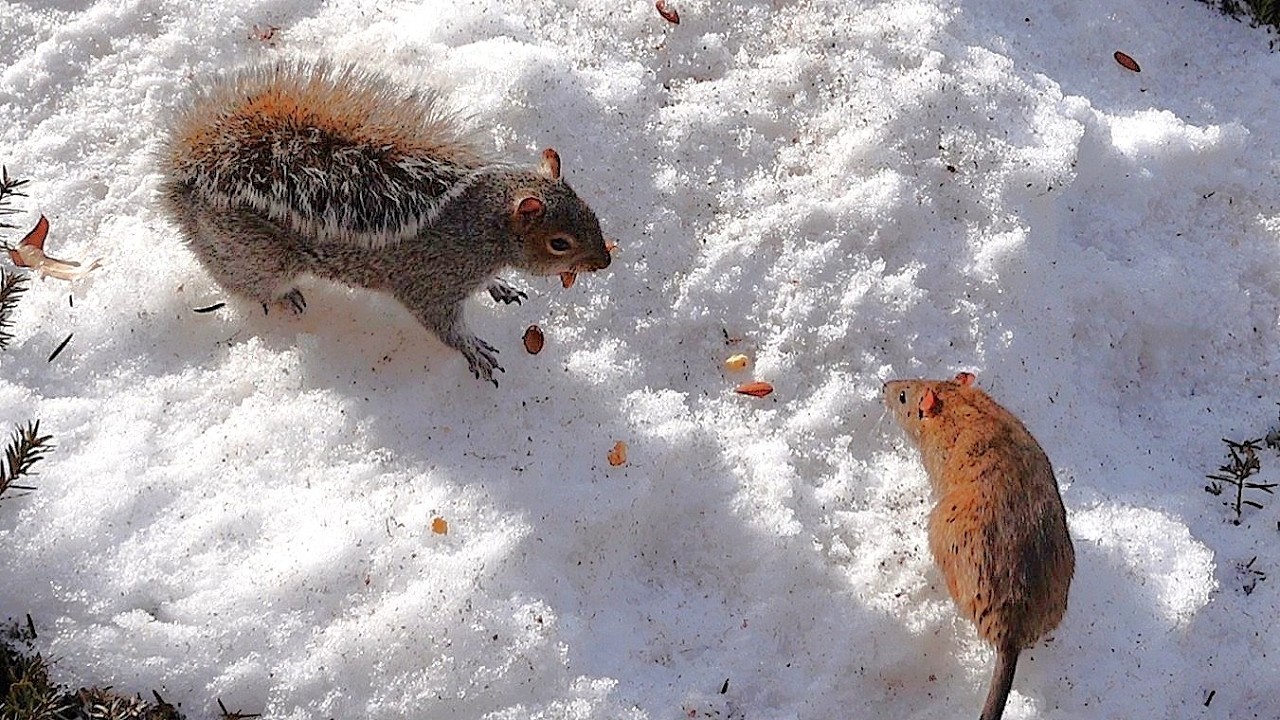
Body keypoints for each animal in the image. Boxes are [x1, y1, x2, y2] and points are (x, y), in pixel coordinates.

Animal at [158, 59, 612, 385]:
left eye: (590, 210)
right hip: (255, 255)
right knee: (243, 282)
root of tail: (185, 183)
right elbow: (442, 324)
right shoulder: (432, 282)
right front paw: (473, 349)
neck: (480, 228)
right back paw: (284, 297)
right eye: (560, 243)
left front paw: (500, 286)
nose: (605, 262)